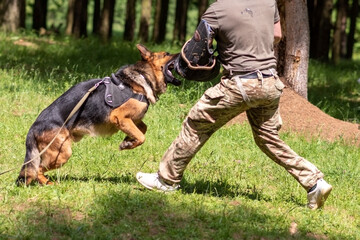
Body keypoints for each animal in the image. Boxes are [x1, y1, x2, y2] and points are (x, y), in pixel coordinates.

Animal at [16, 43, 180, 186]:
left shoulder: (133, 119)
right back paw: (48, 183)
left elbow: (143, 129)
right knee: (37, 169)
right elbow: (142, 136)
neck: (142, 77)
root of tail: (33, 128)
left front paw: (128, 141)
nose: (181, 53)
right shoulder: (119, 117)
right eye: (166, 54)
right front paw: (128, 143)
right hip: (62, 153)